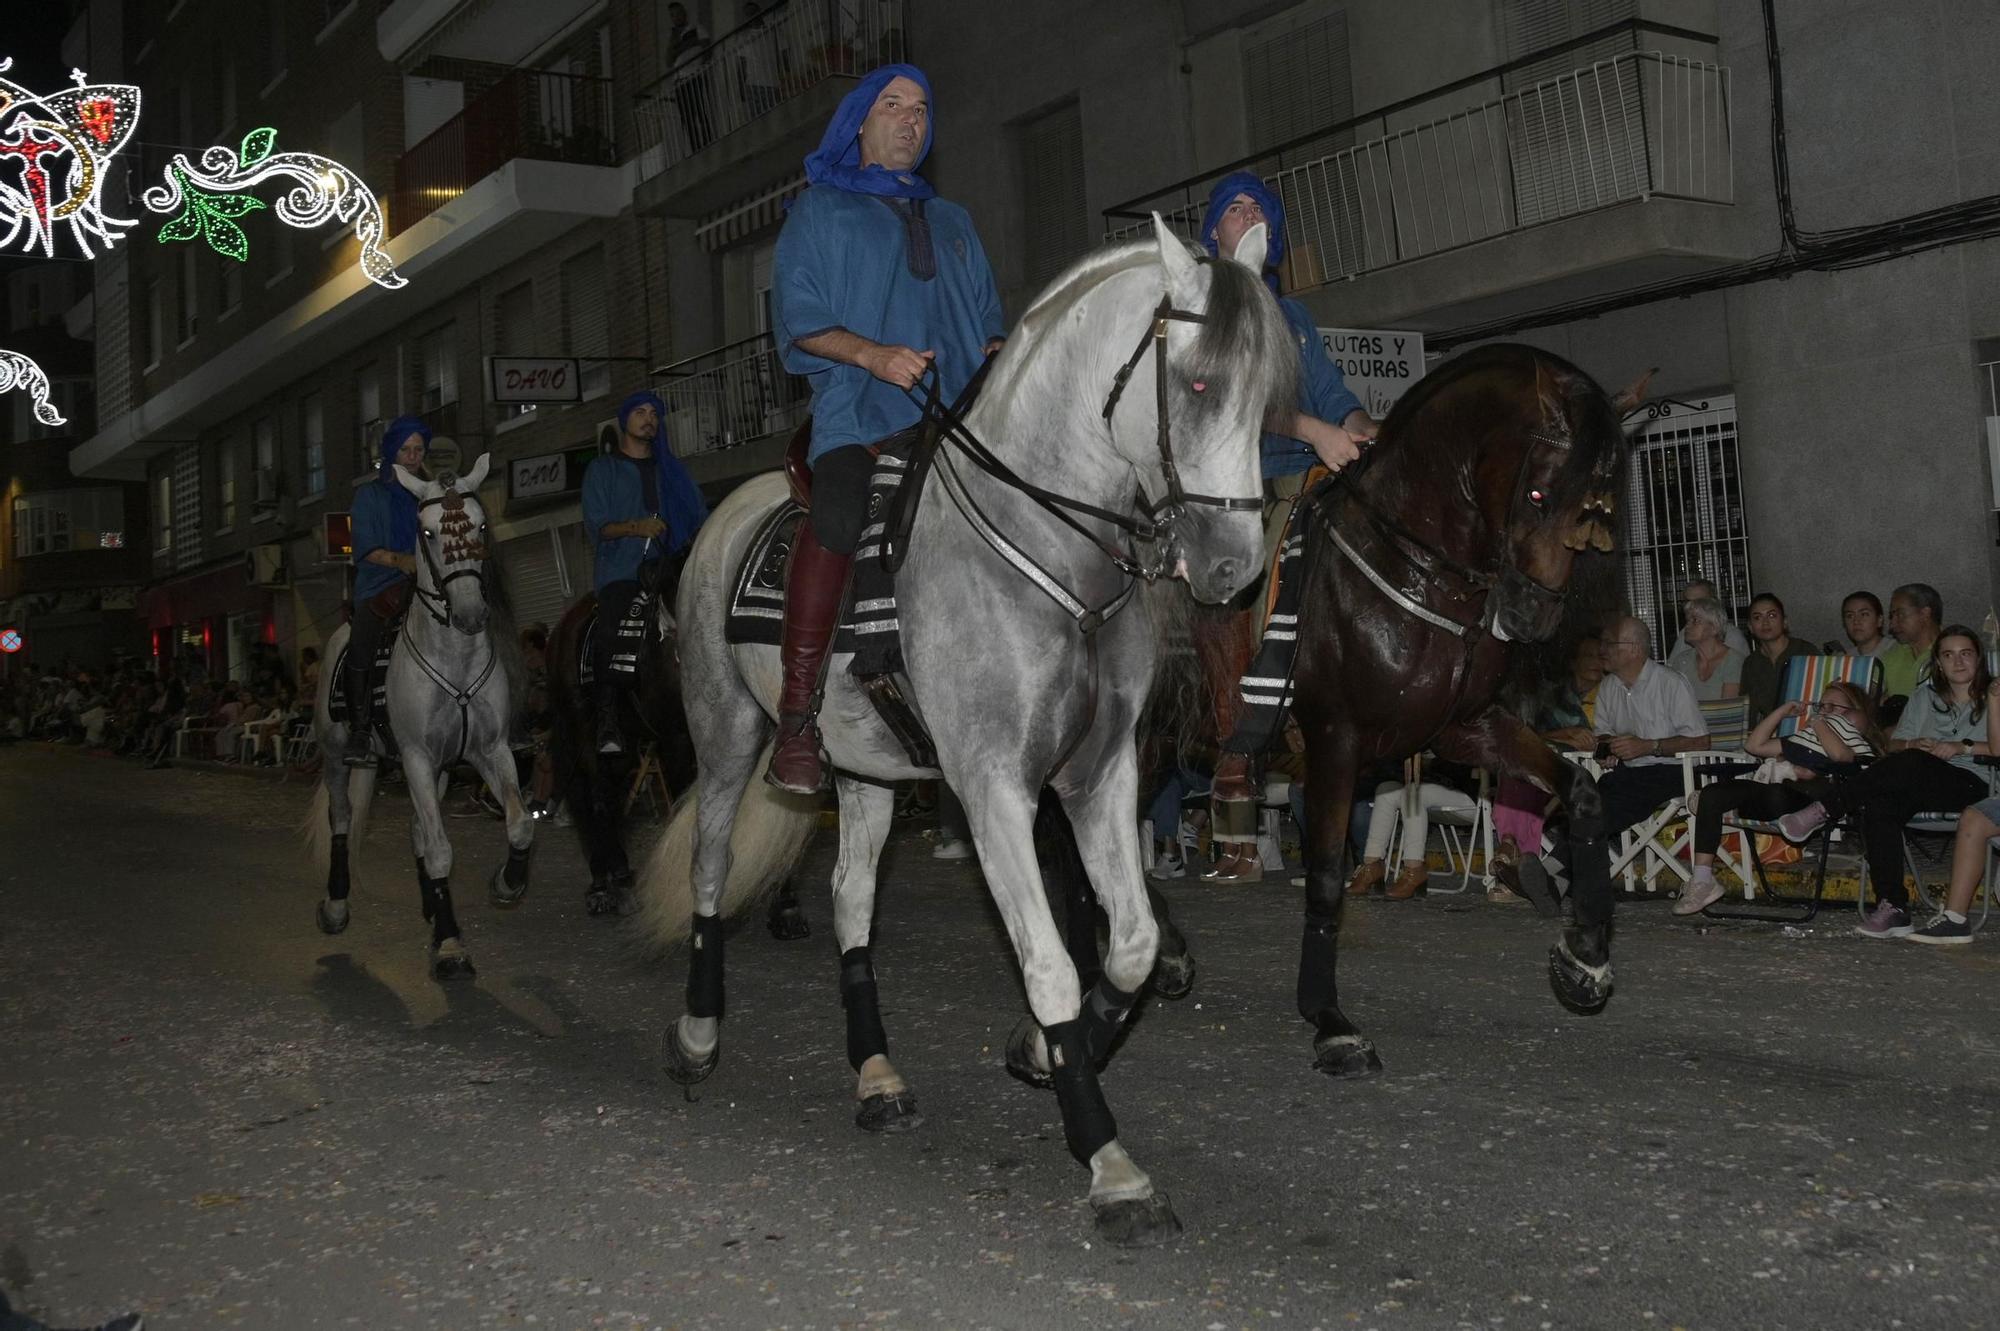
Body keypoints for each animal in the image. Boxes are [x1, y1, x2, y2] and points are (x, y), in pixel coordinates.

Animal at [302, 453, 536, 975]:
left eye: (481, 524)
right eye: (427, 532)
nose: (470, 615)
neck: (454, 656)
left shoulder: (488, 751)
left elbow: (518, 823)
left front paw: (506, 884)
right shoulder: (414, 757)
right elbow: (441, 850)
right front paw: (450, 944)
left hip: (441, 769)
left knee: (417, 831)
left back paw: (431, 906)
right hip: (338, 755)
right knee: (343, 817)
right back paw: (335, 905)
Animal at [640, 219, 1296, 1247]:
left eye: (1266, 390)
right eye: (1195, 385)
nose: (1234, 567)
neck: (1049, 560)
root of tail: (724, 515)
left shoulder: (1099, 777)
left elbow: (1132, 941)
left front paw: (1043, 1055)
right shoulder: (994, 790)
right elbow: (1051, 964)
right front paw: (1110, 1162)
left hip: (864, 769)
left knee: (850, 900)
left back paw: (876, 1074)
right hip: (725, 733)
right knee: (711, 868)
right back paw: (699, 1034)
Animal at [1160, 341, 1640, 1071]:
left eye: (1599, 504)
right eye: (1537, 493)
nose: (1530, 615)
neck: (1416, 565)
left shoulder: (1462, 728)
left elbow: (1582, 794)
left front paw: (1584, 957)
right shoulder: (1335, 739)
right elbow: (1327, 878)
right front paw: (1330, 1021)